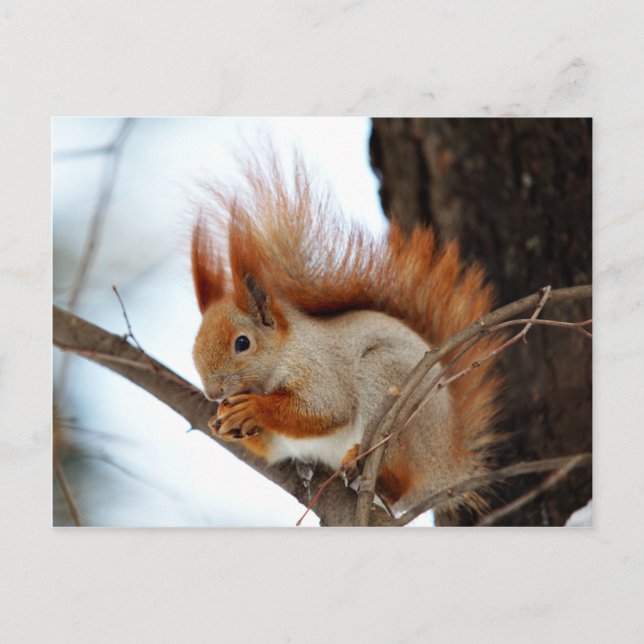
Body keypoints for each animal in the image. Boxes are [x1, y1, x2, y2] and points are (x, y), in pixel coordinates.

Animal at [191, 152, 502, 516]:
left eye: (242, 343)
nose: (213, 393)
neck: (282, 353)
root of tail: (445, 466)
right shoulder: (279, 441)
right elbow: (272, 446)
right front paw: (222, 423)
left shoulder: (318, 366)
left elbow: (326, 410)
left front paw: (253, 409)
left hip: (389, 390)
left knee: (398, 482)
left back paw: (369, 468)